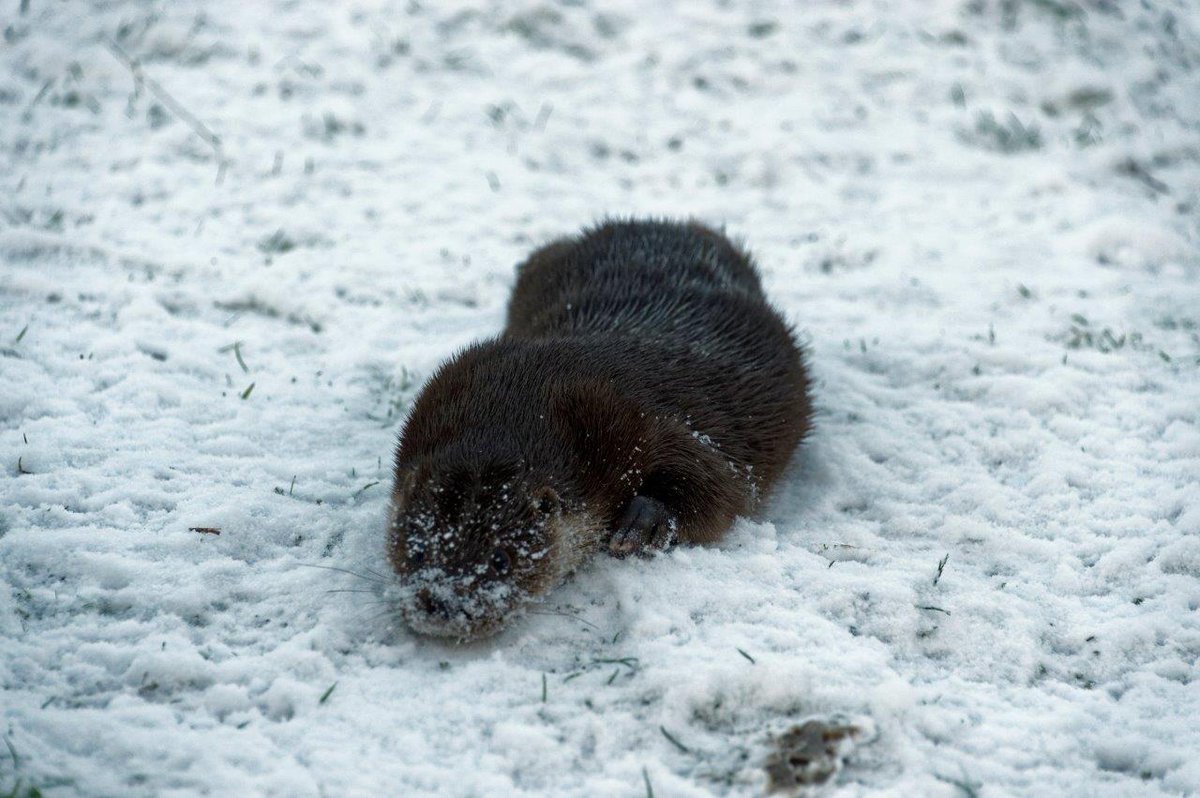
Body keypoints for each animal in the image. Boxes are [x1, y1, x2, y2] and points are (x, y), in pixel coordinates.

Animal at [386, 219, 811, 640]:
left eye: (500, 559)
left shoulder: (640, 418)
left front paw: (643, 521)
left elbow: (722, 486)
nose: (445, 603)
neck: (522, 395)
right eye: (418, 551)